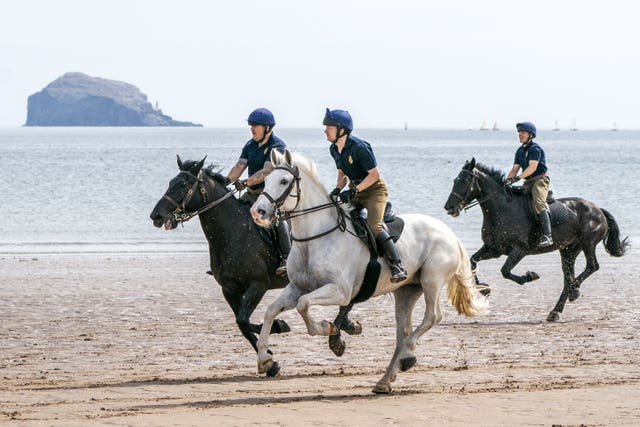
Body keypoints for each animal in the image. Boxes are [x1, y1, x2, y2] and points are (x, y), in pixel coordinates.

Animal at [250, 150, 484, 394]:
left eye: (284, 181)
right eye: (265, 180)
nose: (257, 212)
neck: (314, 240)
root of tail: (450, 233)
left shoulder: (340, 291)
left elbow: (303, 305)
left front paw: (327, 328)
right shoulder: (297, 287)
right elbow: (271, 311)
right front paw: (265, 360)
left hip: (432, 280)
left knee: (432, 317)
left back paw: (407, 353)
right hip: (407, 290)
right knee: (403, 331)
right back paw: (386, 379)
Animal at [442, 159, 628, 322]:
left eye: (464, 180)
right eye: (455, 180)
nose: (449, 207)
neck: (501, 209)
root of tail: (598, 209)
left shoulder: (520, 250)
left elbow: (505, 271)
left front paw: (530, 276)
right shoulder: (493, 249)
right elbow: (473, 261)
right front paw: (485, 289)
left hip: (587, 243)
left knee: (592, 266)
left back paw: (574, 290)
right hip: (568, 250)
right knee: (568, 277)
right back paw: (557, 309)